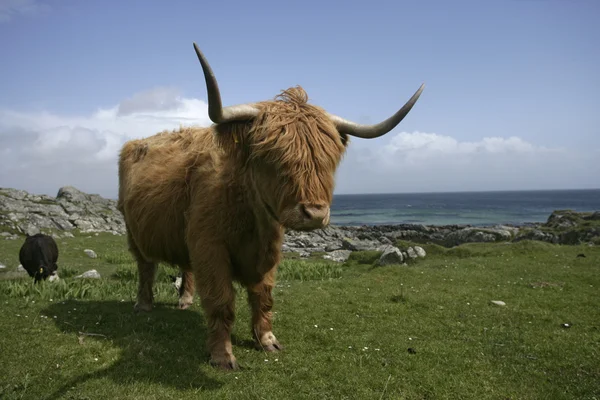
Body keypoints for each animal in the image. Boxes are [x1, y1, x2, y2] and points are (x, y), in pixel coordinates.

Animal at [117, 42, 424, 370]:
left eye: (327, 159)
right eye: (272, 156)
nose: (314, 213)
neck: (252, 217)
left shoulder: (267, 251)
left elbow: (263, 296)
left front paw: (267, 341)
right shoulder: (209, 246)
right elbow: (221, 301)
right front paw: (222, 356)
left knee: (184, 269)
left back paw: (185, 301)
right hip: (134, 231)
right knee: (145, 267)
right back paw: (143, 304)